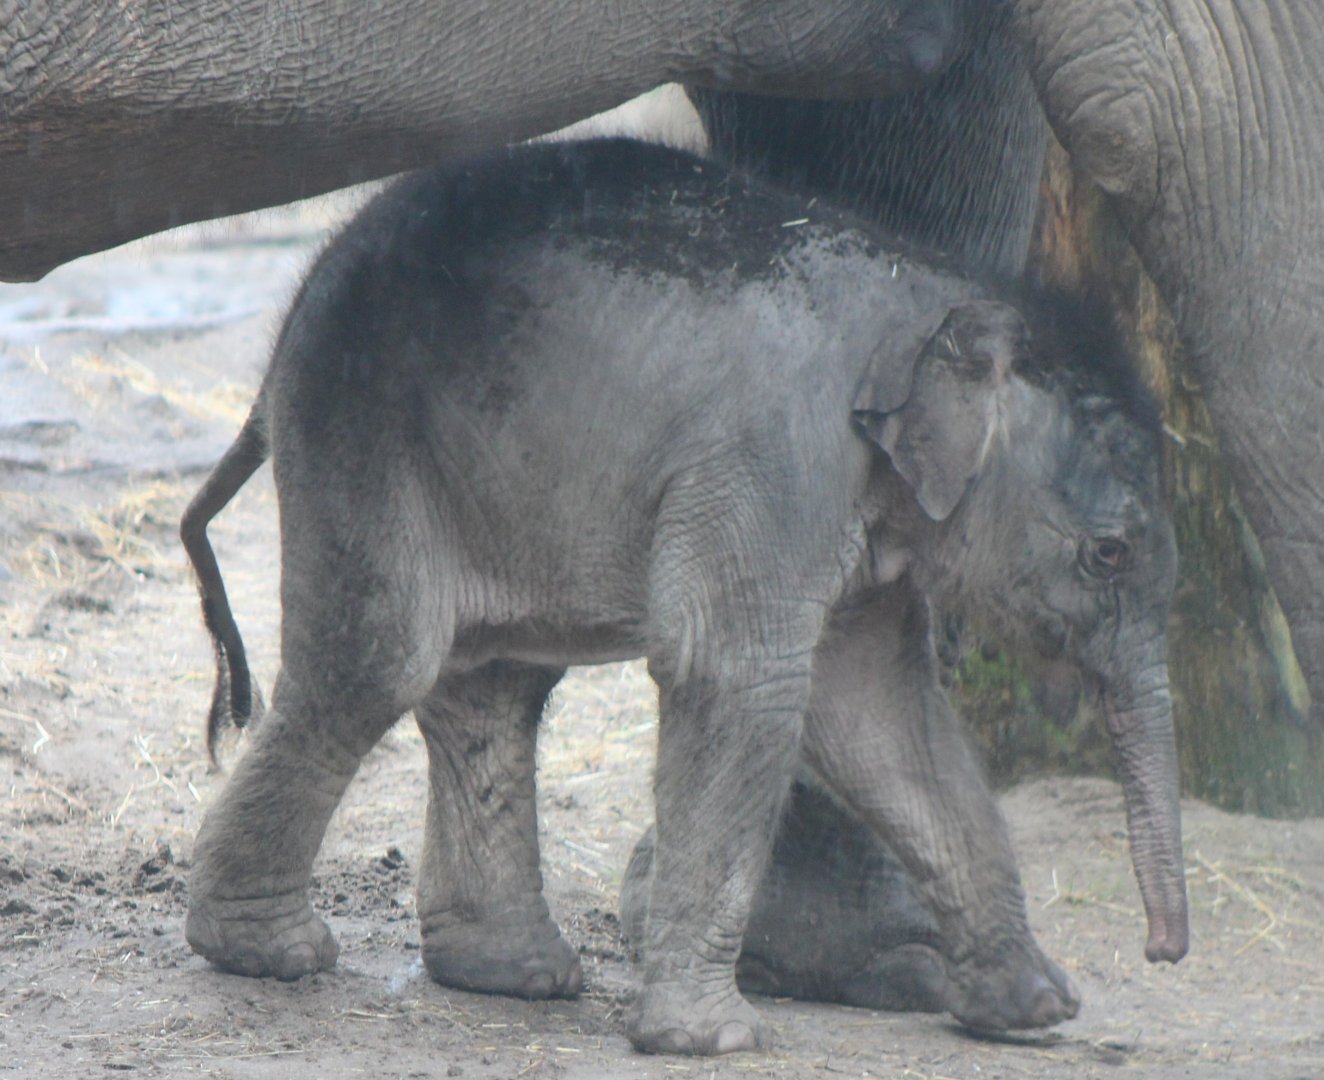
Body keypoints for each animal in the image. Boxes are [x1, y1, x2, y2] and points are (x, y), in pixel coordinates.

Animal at [178, 137, 1185, 1055]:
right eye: (1108, 555)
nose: (1163, 954)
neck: (925, 295)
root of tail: (286, 324)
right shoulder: (773, 463)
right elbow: (738, 678)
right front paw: (714, 1042)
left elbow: (881, 717)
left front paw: (1037, 1011)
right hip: (360, 429)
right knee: (378, 664)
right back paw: (268, 953)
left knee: (493, 684)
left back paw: (514, 975)